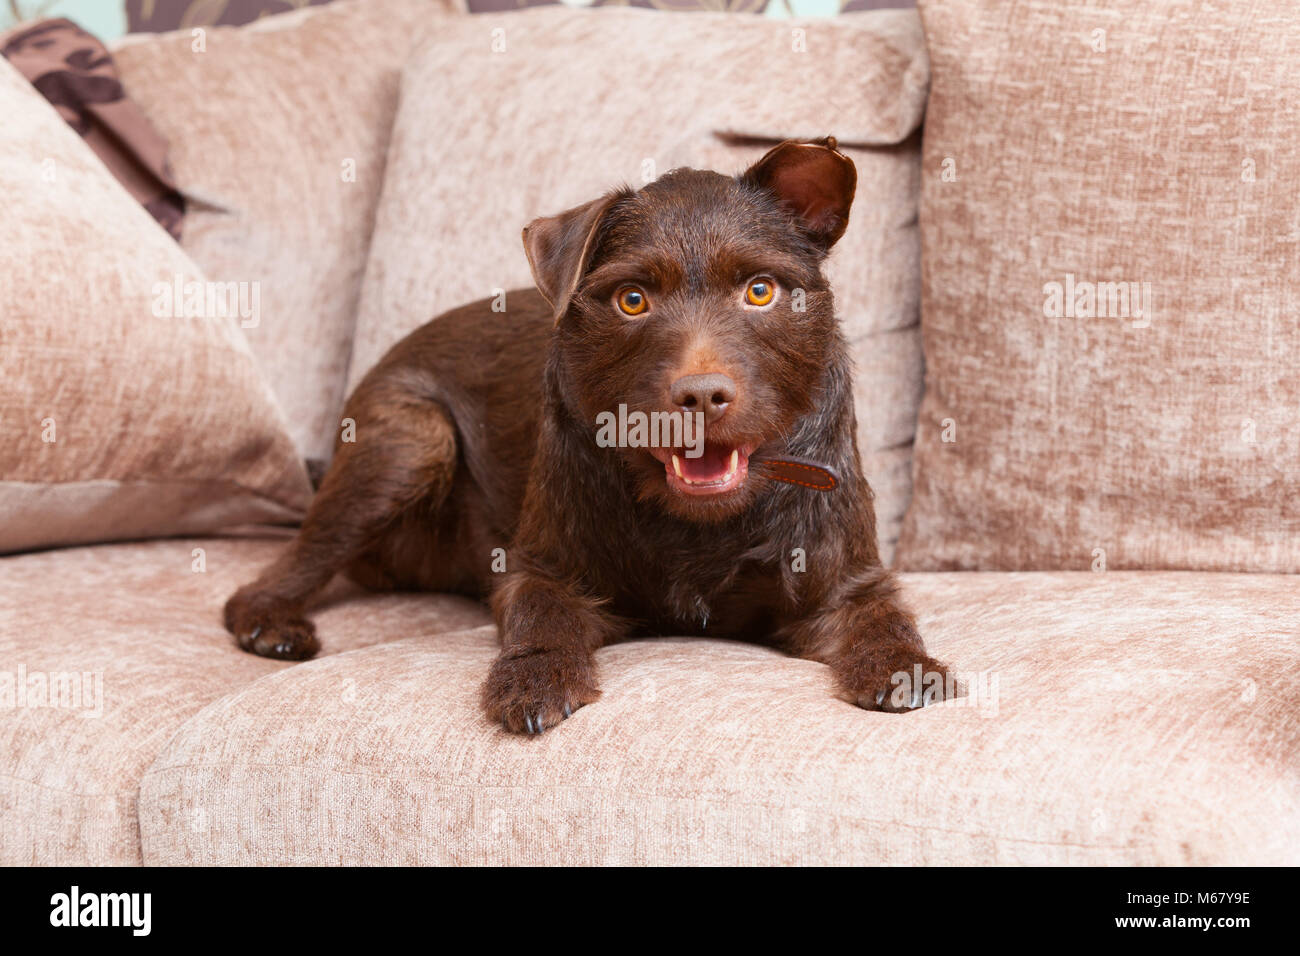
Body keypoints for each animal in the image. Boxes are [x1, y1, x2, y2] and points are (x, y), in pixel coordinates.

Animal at [226, 136, 956, 733]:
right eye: (632, 299)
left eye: (760, 290)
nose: (701, 396)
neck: (697, 522)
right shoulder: (538, 569)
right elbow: (541, 615)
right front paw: (534, 677)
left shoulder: (847, 581)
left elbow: (881, 616)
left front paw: (904, 665)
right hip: (412, 440)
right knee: (280, 571)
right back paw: (270, 623)